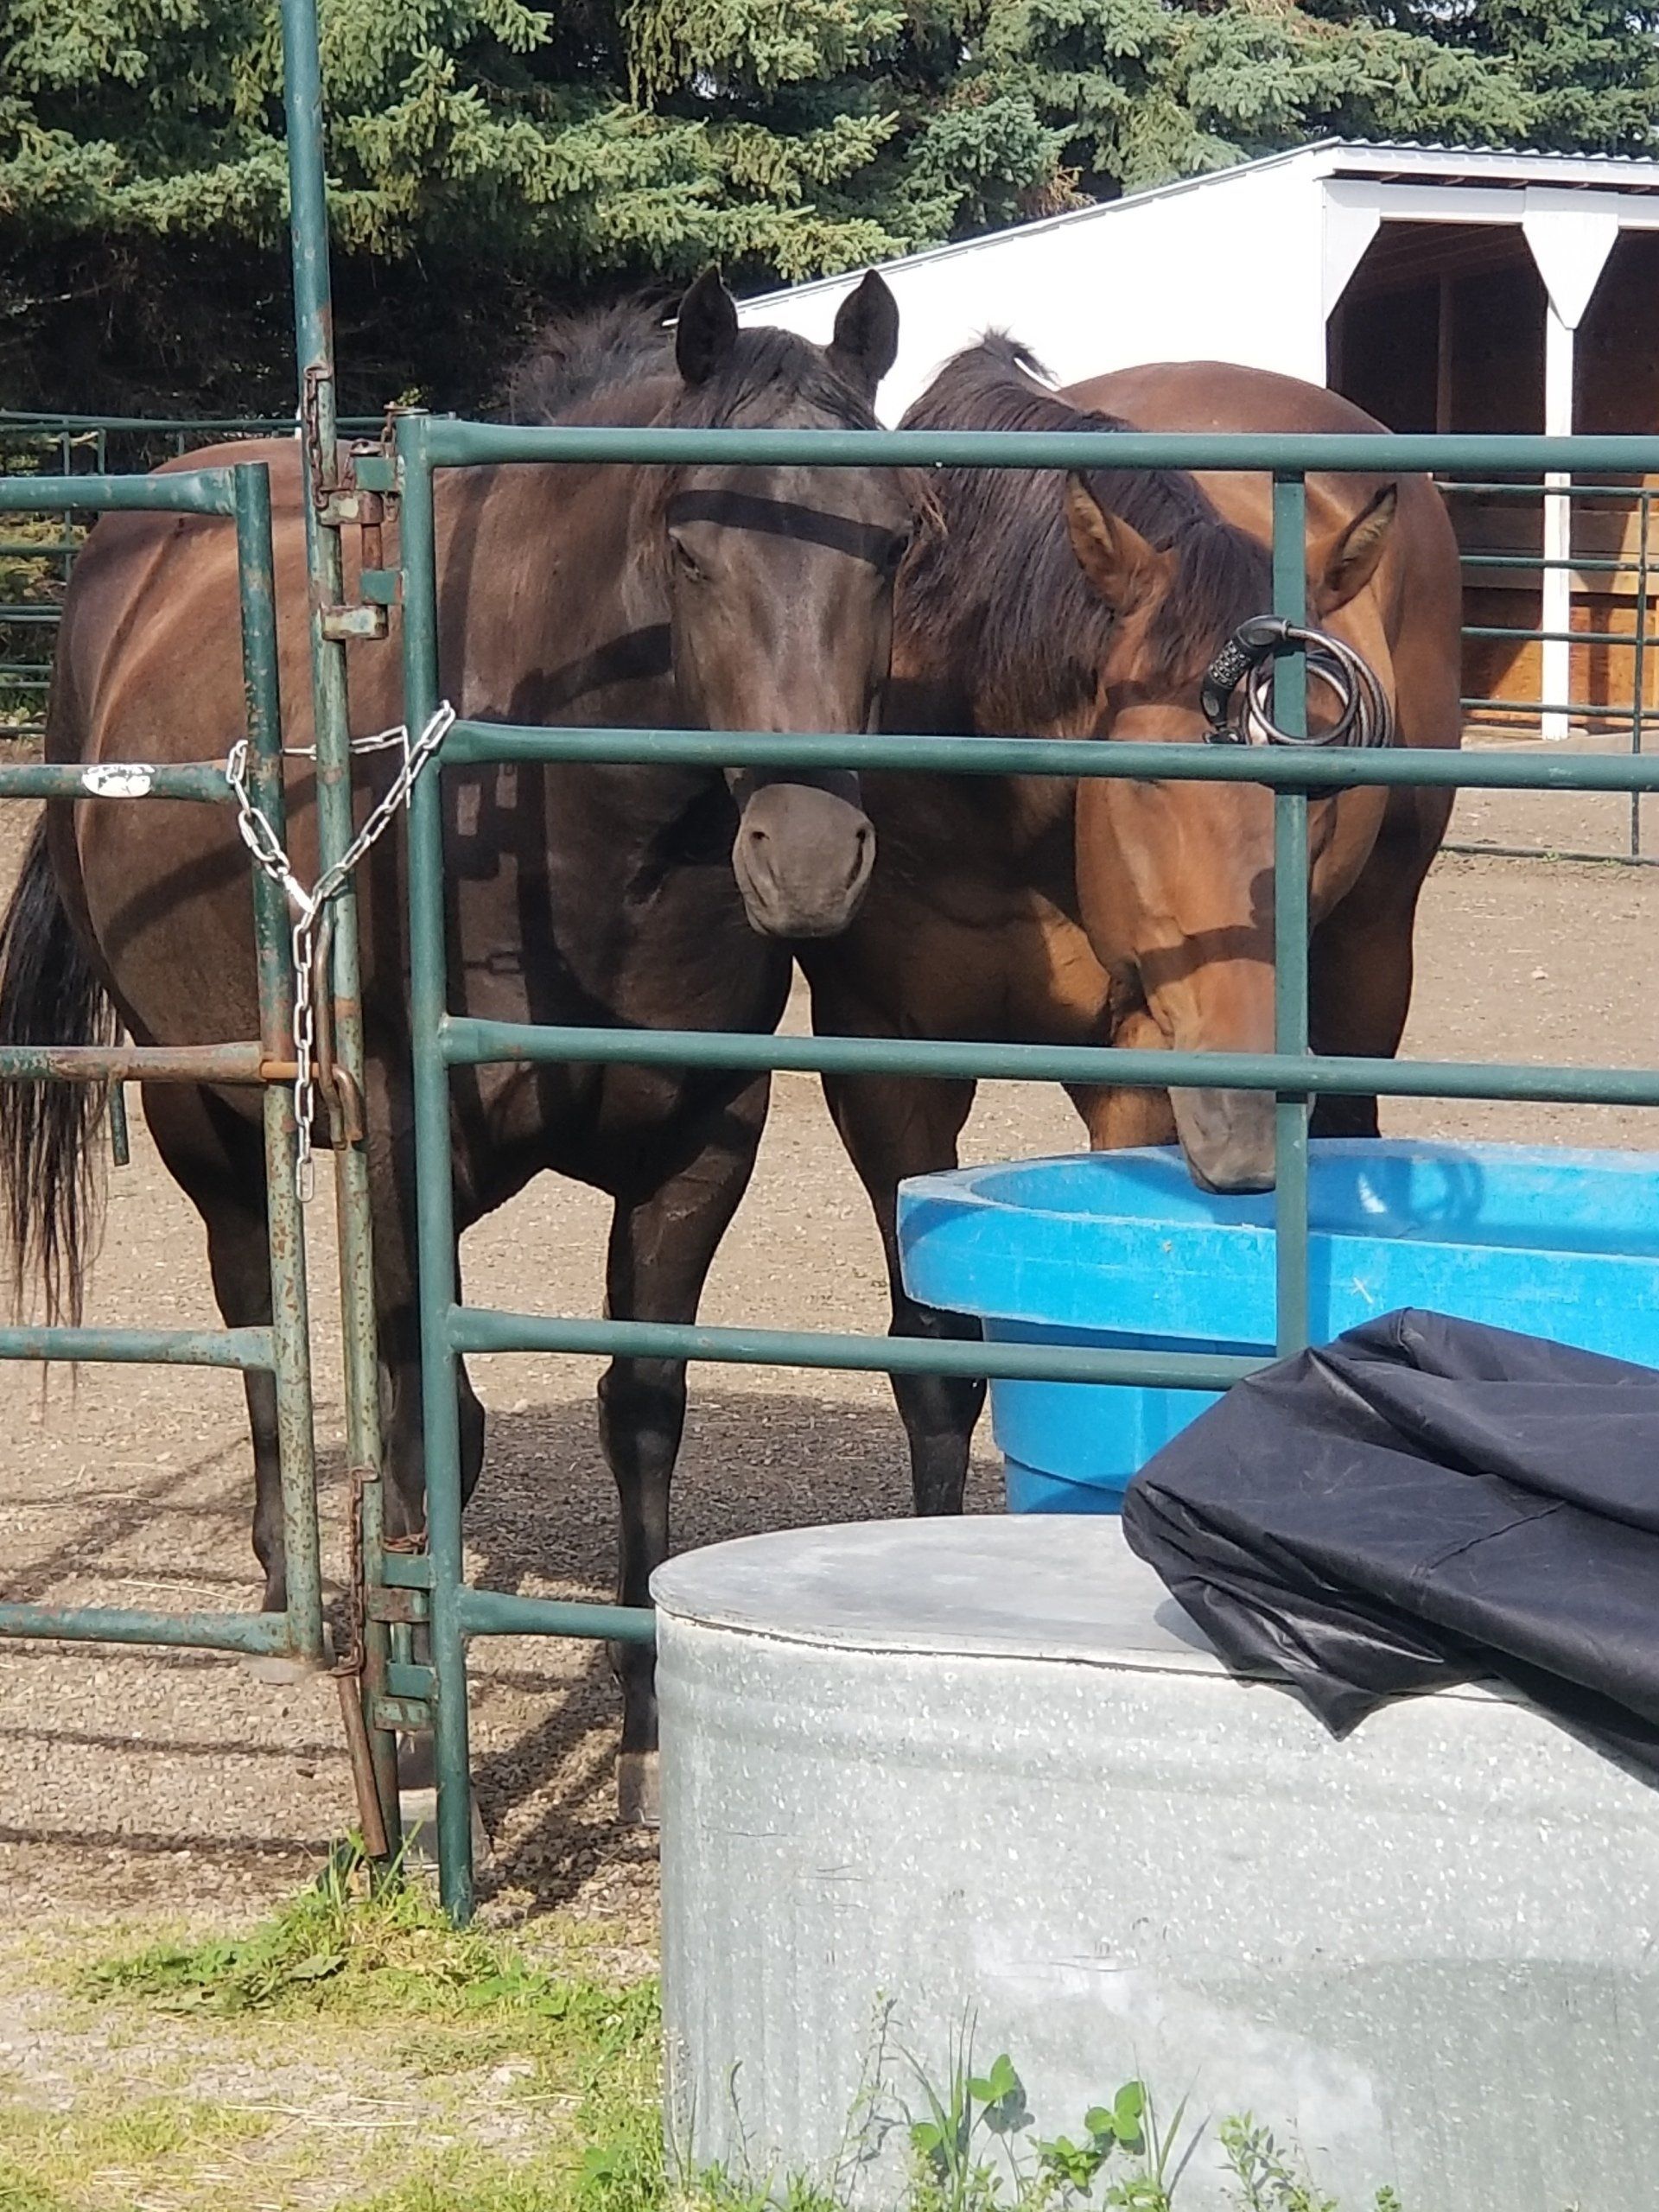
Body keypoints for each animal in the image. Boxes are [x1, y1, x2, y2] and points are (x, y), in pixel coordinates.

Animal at [0, 268, 921, 1816]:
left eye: (903, 538)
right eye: (685, 543)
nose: (806, 856)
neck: (573, 840)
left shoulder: (699, 1153)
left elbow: (641, 1409)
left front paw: (647, 1733)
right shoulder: (403, 1147)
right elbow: (433, 1419)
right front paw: (426, 1749)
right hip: (208, 1112)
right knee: (255, 1311)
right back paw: (291, 1603)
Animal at [800, 335, 1462, 1514]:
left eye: (1328, 786)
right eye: (1144, 774)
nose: (1244, 1124)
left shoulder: (1139, 1057)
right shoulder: (881, 1060)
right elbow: (934, 1368)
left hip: (1372, 952)